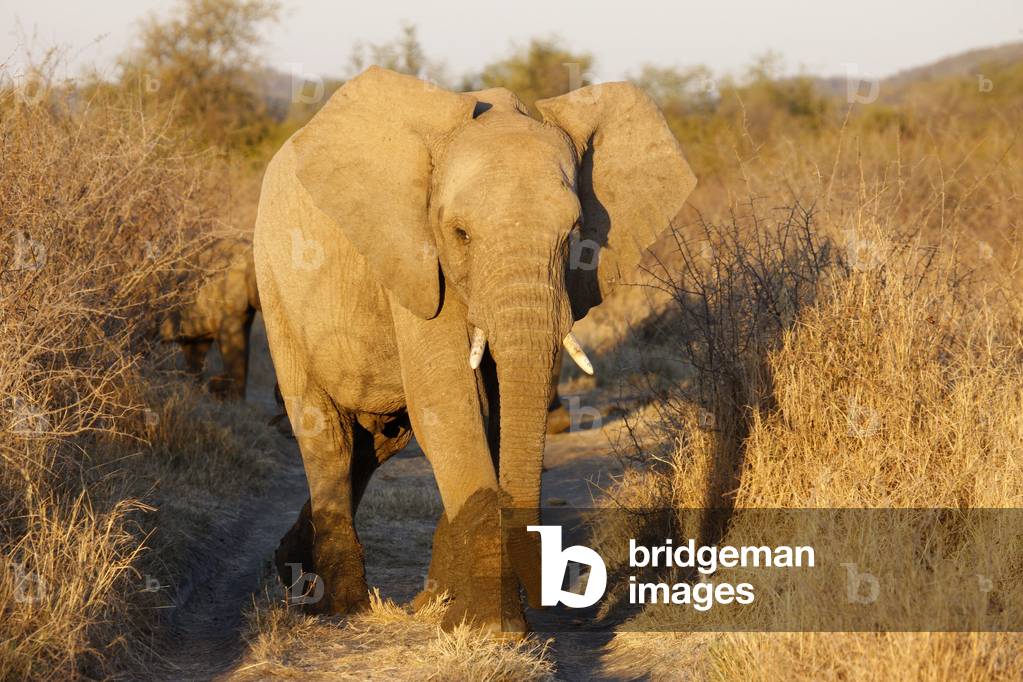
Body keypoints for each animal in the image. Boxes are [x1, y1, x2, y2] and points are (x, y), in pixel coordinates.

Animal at [254, 67, 695, 633]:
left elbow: (494, 412)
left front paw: (452, 610)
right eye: (460, 234)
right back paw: (338, 606)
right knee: (326, 435)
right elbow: (449, 402)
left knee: (375, 445)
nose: (560, 597)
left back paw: (301, 566)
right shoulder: (418, 259)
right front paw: (494, 628)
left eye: (575, 234)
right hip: (276, 284)